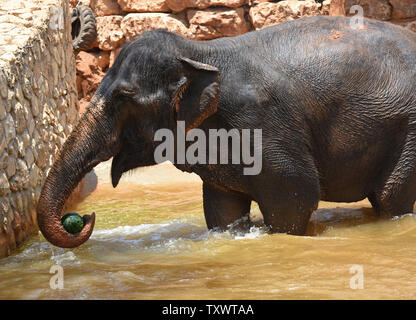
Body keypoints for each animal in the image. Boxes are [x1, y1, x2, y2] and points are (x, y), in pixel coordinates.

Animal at [36, 15, 416, 248]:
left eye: (122, 98)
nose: (83, 216)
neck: (200, 51)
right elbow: (222, 209)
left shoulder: (263, 126)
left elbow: (295, 197)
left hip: (409, 131)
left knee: (391, 198)